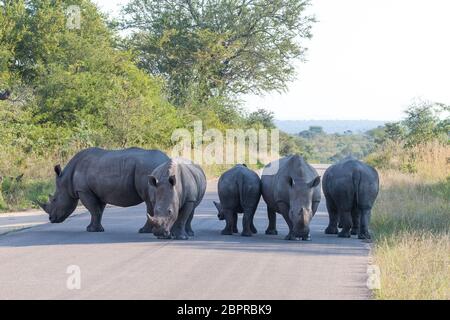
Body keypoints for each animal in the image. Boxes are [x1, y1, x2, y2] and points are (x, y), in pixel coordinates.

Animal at [37, 148, 169, 232]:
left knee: (149, 202)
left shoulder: (83, 190)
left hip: (148, 169)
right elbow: (98, 211)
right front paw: (95, 229)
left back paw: (143, 231)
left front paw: (90, 230)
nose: (51, 219)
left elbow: (93, 210)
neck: (66, 179)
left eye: (54, 199)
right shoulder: (99, 193)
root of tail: (166, 160)